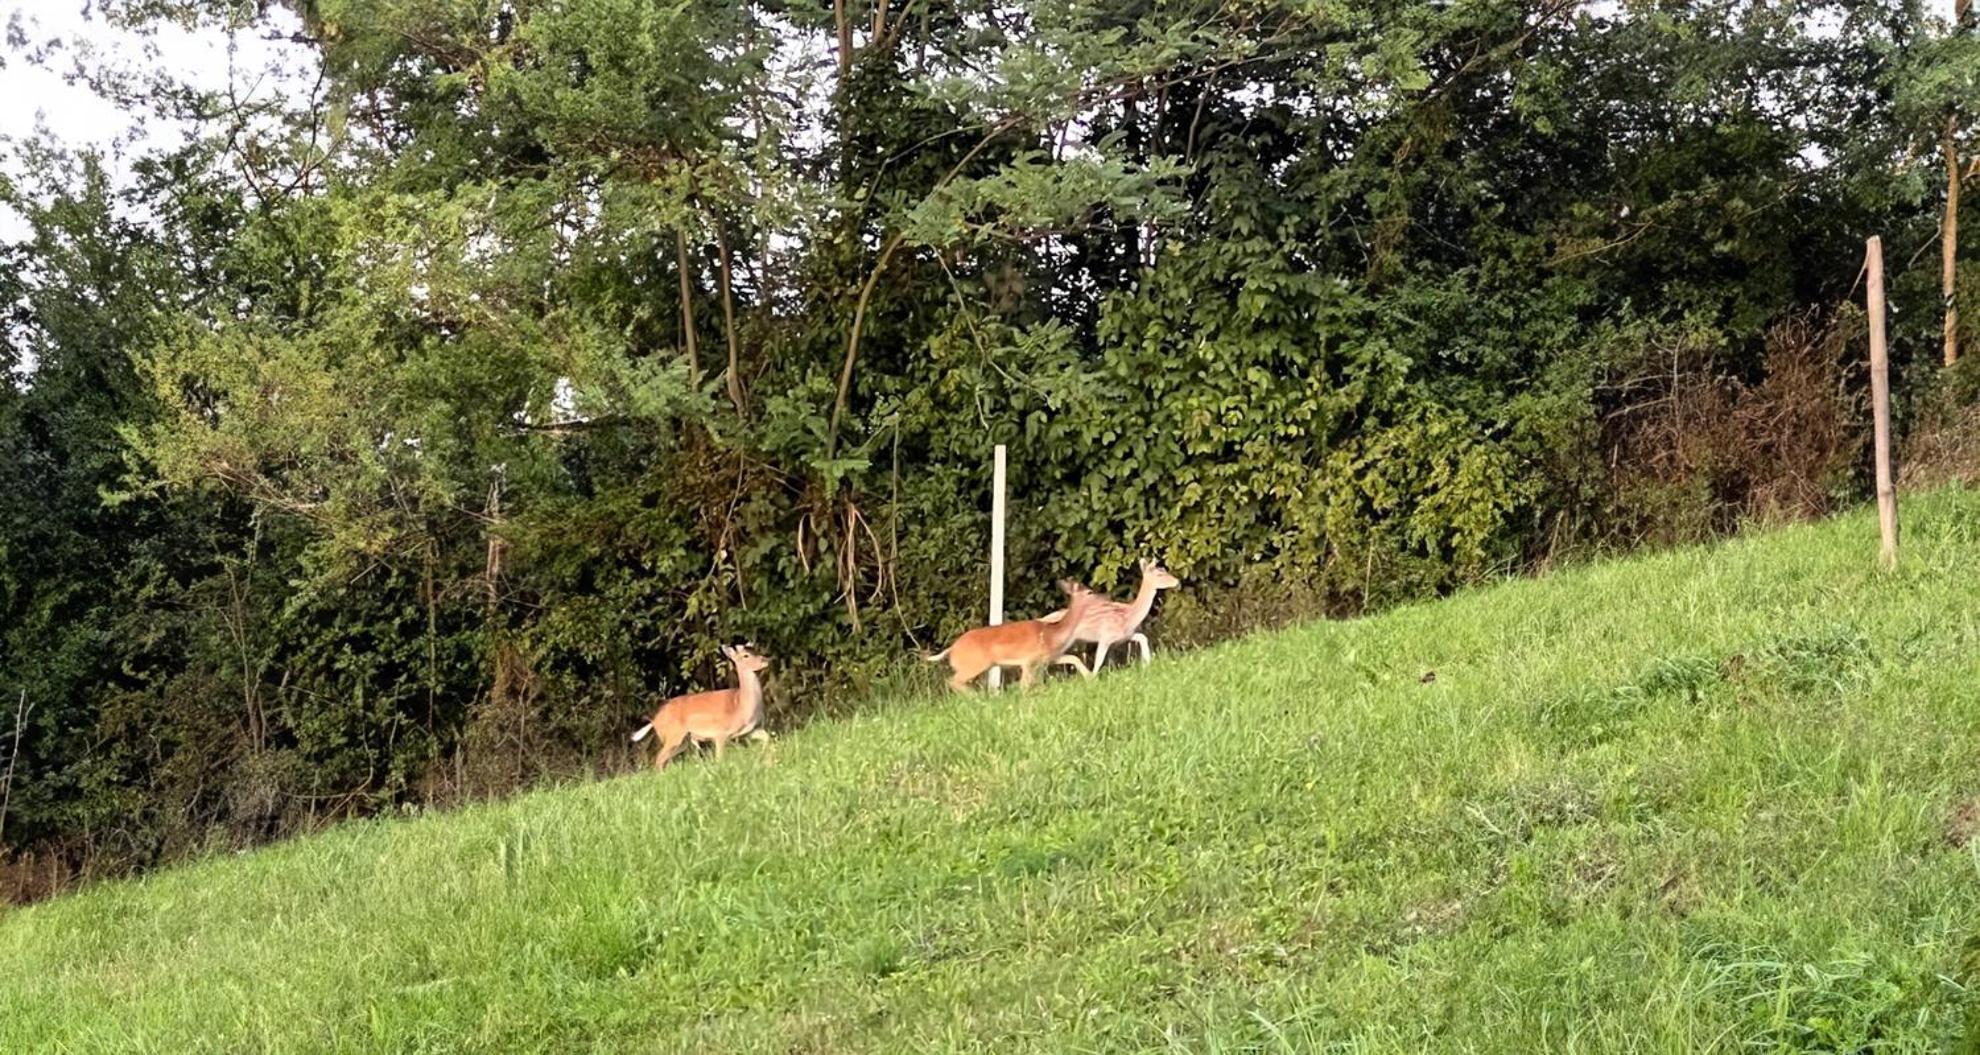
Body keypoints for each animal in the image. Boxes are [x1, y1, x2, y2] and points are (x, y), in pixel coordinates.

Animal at [629, 637, 768, 767]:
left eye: (756, 650)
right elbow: (720, 759)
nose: (765, 660)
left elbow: (767, 737)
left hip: (682, 741)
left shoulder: (748, 731)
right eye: (746, 655)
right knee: (659, 759)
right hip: (673, 735)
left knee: (664, 760)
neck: (740, 705)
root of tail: (654, 720)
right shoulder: (720, 733)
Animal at [922, 574, 1108, 692]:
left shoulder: (1049, 657)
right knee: (953, 681)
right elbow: (1025, 685)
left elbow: (1074, 658)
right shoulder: (1029, 660)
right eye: (1090, 592)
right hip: (975, 663)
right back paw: (977, 697)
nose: (1105, 596)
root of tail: (952, 649)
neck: (1053, 634)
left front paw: (1090, 677)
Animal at [1045, 558, 1180, 672]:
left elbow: (1143, 638)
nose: (1177, 581)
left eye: (1164, 570)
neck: (1129, 616)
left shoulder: (1124, 636)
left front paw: (1146, 664)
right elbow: (1098, 662)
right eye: (1159, 574)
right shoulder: (1106, 636)